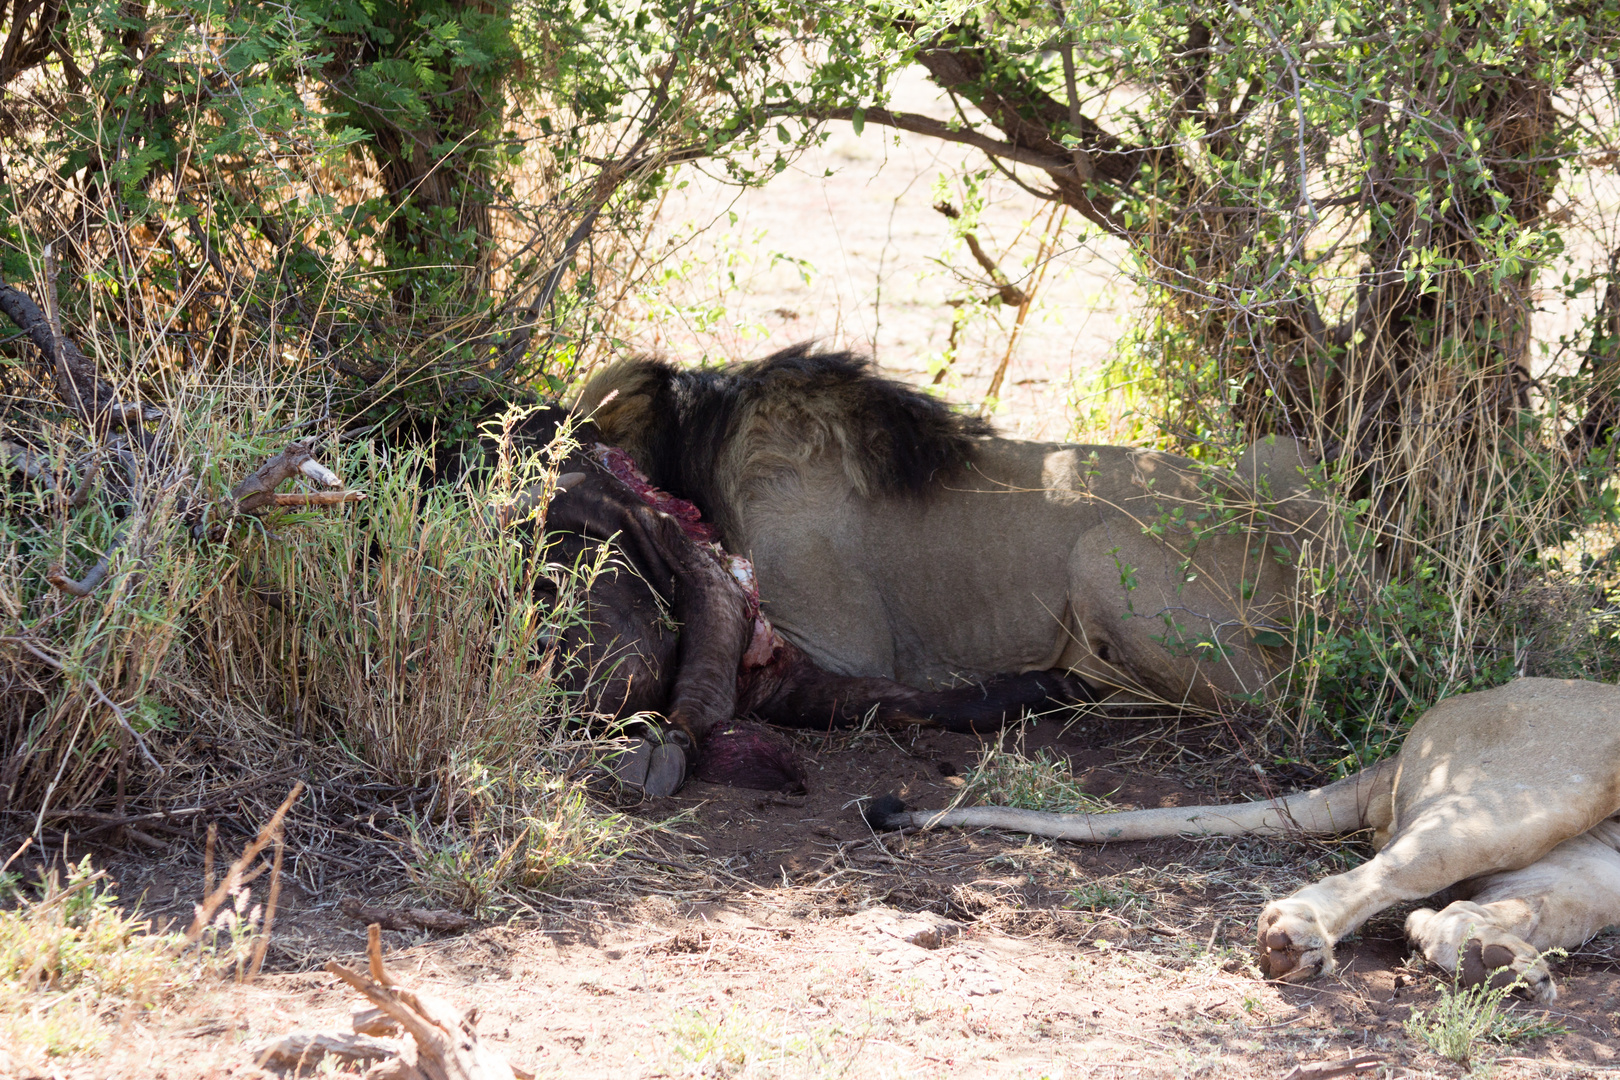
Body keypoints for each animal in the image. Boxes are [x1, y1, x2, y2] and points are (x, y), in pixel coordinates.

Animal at [868, 680, 1613, 1003]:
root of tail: (1408, 745)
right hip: (1539, 794)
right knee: (1389, 876)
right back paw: (1296, 939)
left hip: (1592, 872)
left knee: (1455, 911)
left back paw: (1499, 965)